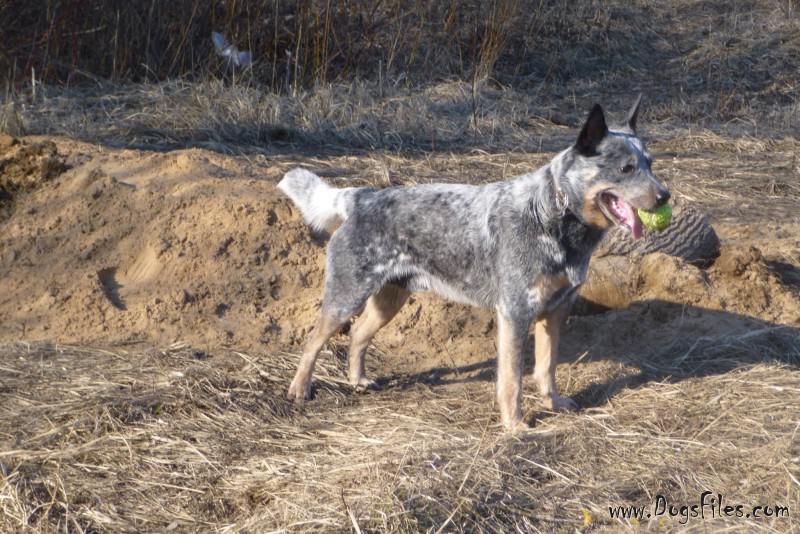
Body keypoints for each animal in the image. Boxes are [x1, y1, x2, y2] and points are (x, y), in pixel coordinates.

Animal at [277, 97, 670, 432]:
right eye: (626, 168)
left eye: (650, 164)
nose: (665, 196)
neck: (553, 214)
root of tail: (361, 196)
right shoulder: (515, 314)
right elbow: (512, 380)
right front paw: (515, 425)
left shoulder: (555, 312)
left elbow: (546, 369)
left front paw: (553, 403)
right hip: (346, 297)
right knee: (314, 340)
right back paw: (299, 390)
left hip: (389, 301)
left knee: (358, 335)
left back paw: (357, 380)